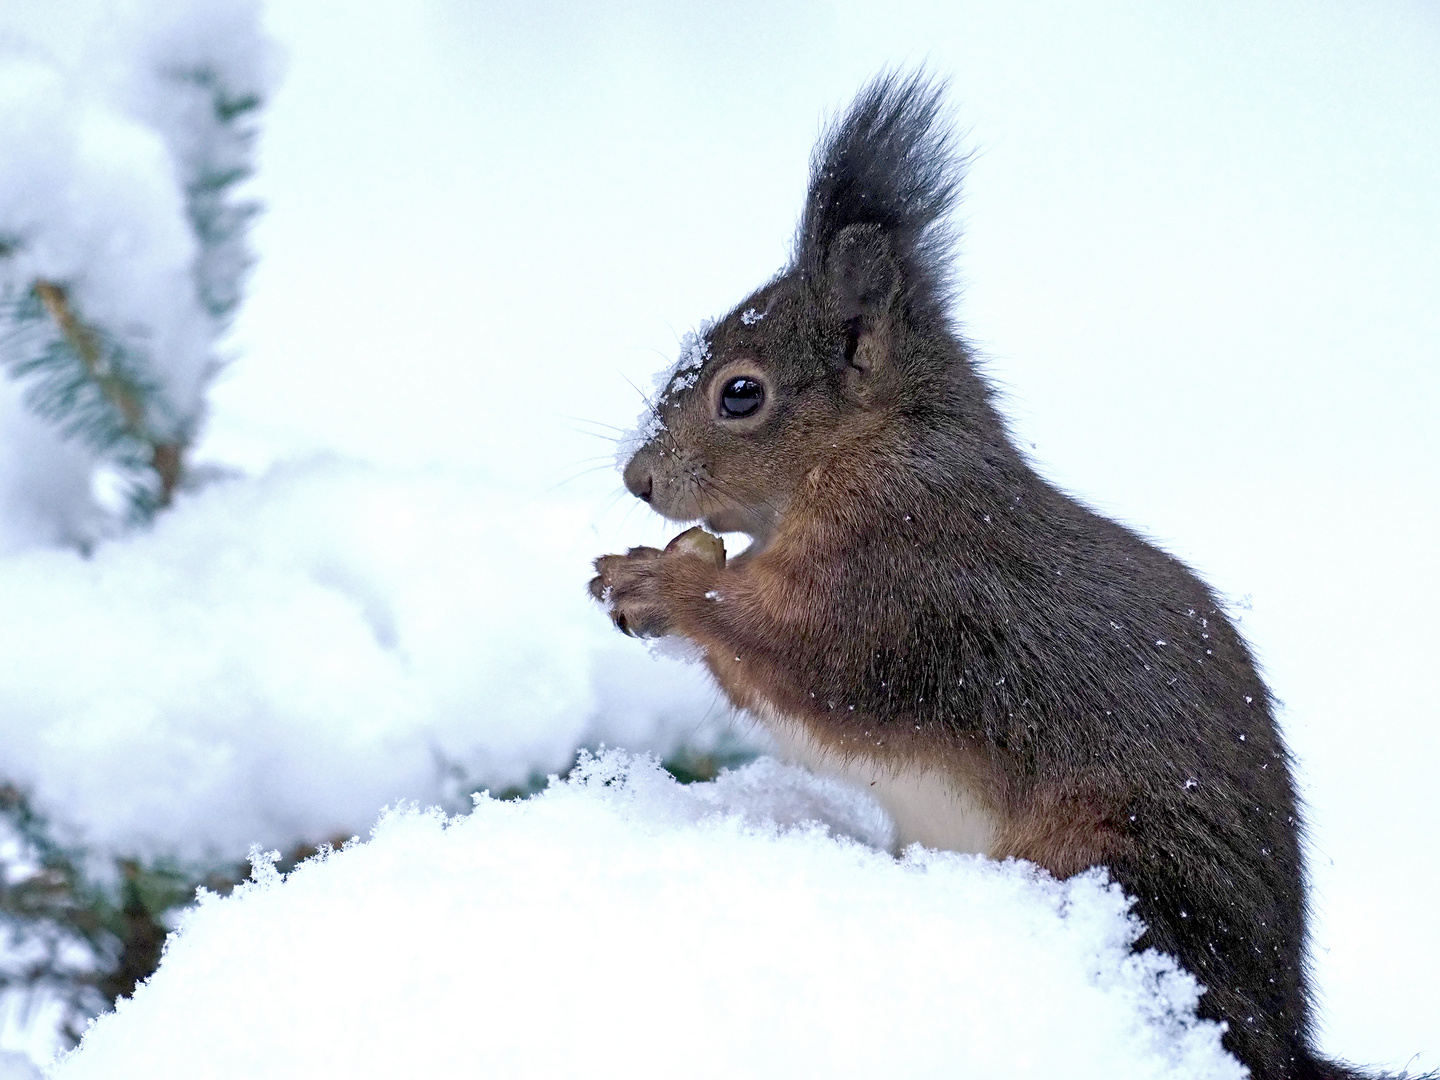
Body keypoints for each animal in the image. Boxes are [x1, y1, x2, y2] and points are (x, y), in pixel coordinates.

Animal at [587, 72, 1428, 1080]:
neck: (871, 455)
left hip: (1116, 866)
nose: (637, 482)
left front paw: (657, 586)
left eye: (740, 393)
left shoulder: (901, 575)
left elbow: (806, 658)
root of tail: (1279, 1032)